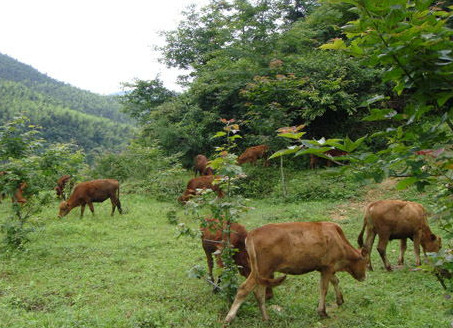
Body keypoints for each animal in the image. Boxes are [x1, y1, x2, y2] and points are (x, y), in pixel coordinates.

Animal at [223, 220, 368, 322]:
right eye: (366, 263)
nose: (363, 277)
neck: (339, 242)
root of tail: (253, 233)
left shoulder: (324, 267)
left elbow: (335, 281)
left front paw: (339, 300)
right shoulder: (327, 267)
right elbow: (324, 289)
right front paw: (322, 312)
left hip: (262, 273)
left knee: (259, 293)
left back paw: (266, 318)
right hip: (262, 269)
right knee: (244, 289)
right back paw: (229, 318)